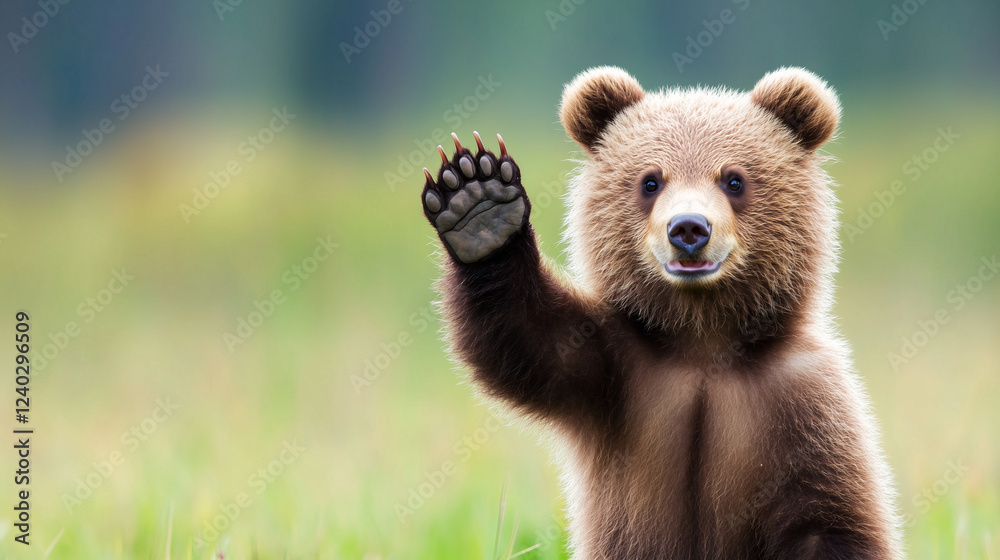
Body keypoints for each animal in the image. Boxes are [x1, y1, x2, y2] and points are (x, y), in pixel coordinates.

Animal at [419, 67, 903, 560]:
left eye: (734, 179)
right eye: (650, 181)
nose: (688, 229)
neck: (702, 340)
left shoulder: (803, 403)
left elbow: (828, 520)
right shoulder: (616, 371)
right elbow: (528, 340)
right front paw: (478, 200)